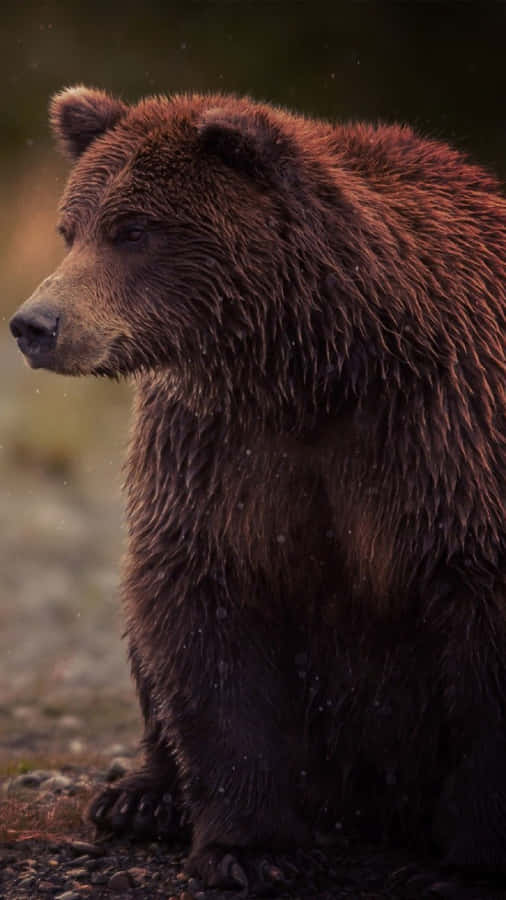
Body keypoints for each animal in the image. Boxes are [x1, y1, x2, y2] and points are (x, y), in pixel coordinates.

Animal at [9, 86, 505, 892]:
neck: (313, 369)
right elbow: (206, 614)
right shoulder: (218, 451)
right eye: (69, 229)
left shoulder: (442, 432)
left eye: (132, 229)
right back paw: (140, 798)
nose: (34, 324)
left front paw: (464, 864)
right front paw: (250, 849)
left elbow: (479, 635)